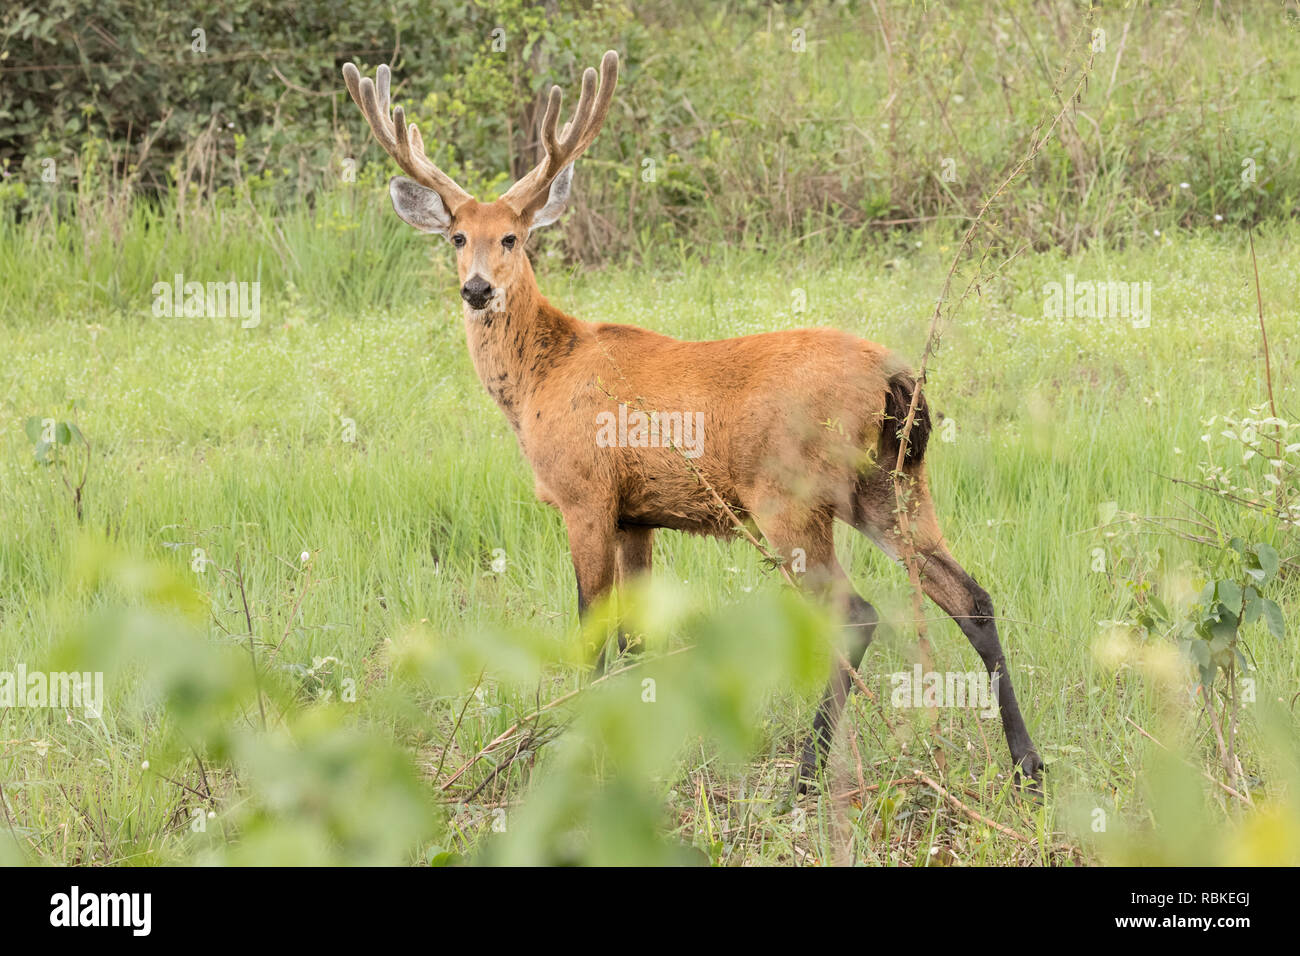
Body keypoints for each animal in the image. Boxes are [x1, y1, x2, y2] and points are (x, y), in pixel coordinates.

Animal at [338, 48, 1045, 790]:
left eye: (512, 236)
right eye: (456, 237)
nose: (477, 289)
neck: (542, 376)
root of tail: (894, 376)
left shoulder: (585, 495)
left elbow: (591, 633)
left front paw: (577, 753)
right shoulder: (636, 514)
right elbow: (635, 641)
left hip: (790, 494)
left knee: (855, 612)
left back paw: (806, 773)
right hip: (893, 482)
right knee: (969, 593)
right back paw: (1027, 763)